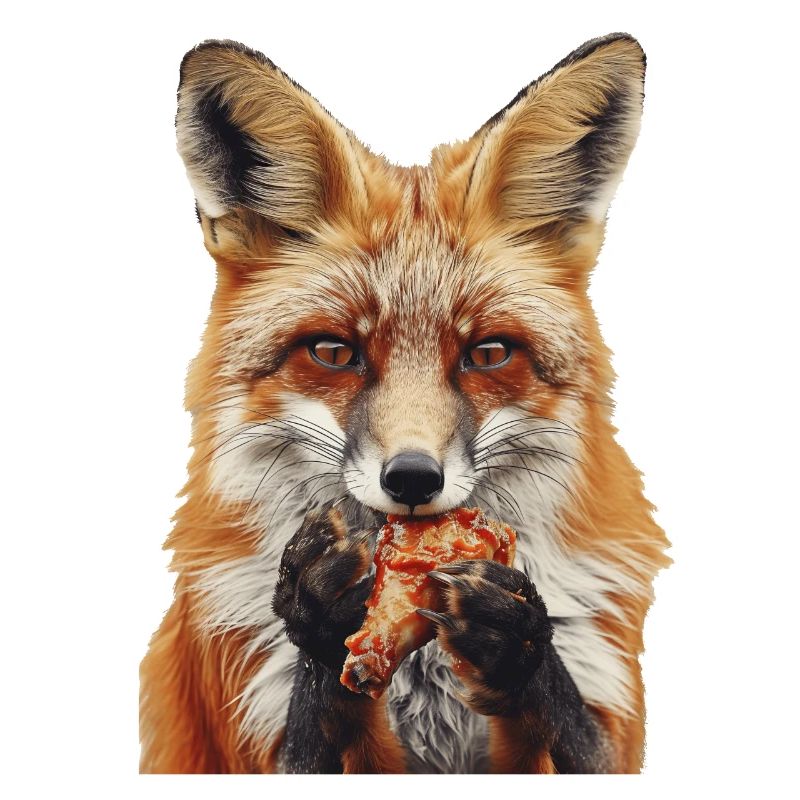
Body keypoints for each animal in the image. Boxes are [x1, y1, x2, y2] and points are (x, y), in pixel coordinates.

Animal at [139, 32, 670, 773]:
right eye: (334, 353)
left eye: (489, 353)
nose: (414, 479)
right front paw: (318, 613)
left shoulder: (606, 734)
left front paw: (520, 644)